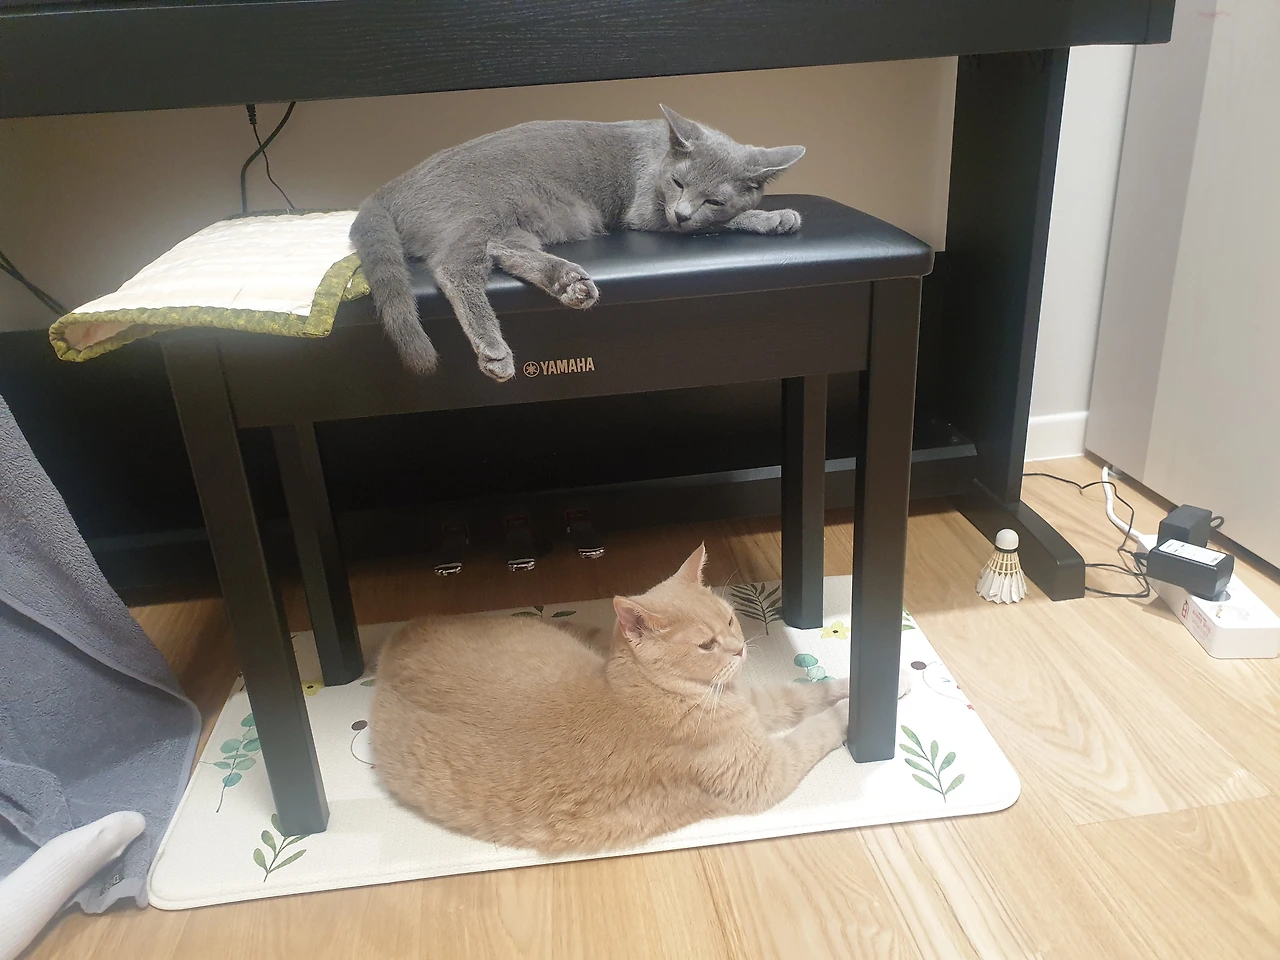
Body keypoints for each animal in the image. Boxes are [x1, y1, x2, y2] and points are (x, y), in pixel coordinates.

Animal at [350, 106, 805, 382]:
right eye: (678, 183)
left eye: (713, 199)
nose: (683, 213)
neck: (660, 153)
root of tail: (389, 188)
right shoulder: (647, 210)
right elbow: (715, 223)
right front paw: (774, 216)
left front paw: (770, 214)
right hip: (489, 208)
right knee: (454, 265)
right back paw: (495, 349)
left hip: (528, 216)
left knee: (502, 249)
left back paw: (570, 283)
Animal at [369, 544, 852, 855]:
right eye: (706, 645)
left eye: (731, 620)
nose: (739, 649)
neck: (645, 690)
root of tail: (399, 637)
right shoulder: (766, 773)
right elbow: (816, 729)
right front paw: (853, 710)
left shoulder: (754, 703)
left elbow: (799, 696)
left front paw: (846, 684)